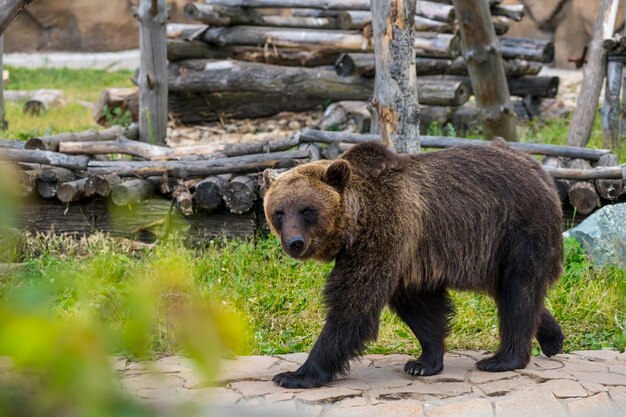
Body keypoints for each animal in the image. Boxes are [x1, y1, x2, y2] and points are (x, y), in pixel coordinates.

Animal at [260, 140, 564, 386]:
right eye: (278, 212)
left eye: (307, 210)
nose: (294, 242)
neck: (355, 224)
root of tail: (540, 170)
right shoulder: (408, 256)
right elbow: (420, 307)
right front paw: (423, 362)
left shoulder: (386, 232)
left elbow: (354, 303)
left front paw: (295, 374)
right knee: (511, 291)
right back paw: (553, 338)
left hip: (516, 229)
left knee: (519, 290)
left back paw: (502, 359)